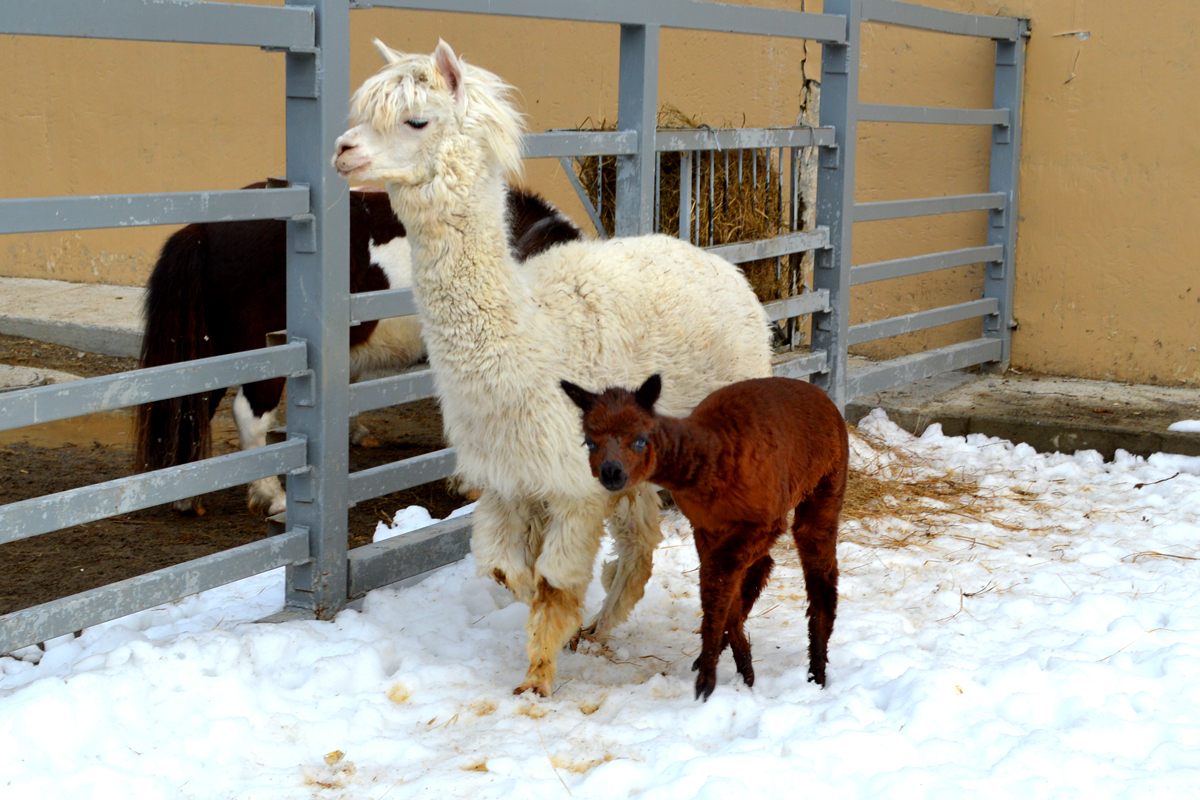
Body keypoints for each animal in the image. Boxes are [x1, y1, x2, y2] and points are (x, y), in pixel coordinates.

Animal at [566, 376, 849, 700]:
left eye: (640, 439)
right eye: (590, 442)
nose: (612, 472)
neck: (715, 456)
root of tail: (821, 395)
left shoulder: (762, 521)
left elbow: (717, 583)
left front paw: (708, 682)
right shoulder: (706, 526)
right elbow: (721, 589)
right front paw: (740, 671)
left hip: (826, 481)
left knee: (820, 570)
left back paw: (817, 674)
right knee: (762, 566)